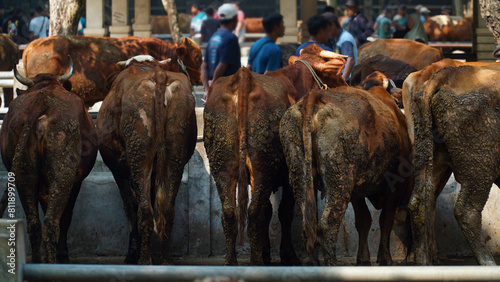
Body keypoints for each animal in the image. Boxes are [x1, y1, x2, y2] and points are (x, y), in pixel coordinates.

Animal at [0, 60, 97, 264]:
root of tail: (41, 101)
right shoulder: (76, 182)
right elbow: (66, 216)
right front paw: (63, 253)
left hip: (24, 176)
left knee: (35, 224)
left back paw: (39, 261)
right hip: (62, 176)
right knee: (52, 222)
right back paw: (54, 260)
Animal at [95, 55, 197, 264]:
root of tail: (158, 76)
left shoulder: (118, 171)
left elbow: (130, 208)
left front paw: (131, 253)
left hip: (139, 155)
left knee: (144, 211)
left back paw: (144, 259)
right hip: (175, 154)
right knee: (167, 209)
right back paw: (166, 259)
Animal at [203, 44, 348, 266]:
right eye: (335, 74)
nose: (346, 85)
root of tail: (243, 77)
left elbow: (268, 212)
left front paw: (266, 251)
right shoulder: (290, 176)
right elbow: (284, 212)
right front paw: (288, 255)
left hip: (222, 166)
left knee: (230, 212)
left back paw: (232, 262)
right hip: (262, 168)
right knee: (254, 212)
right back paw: (256, 262)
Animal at [280, 85, 412, 266]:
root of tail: (315, 96)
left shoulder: (356, 192)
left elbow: (364, 220)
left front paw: (363, 258)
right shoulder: (395, 186)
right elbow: (385, 220)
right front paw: (385, 258)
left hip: (299, 172)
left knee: (308, 228)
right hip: (339, 183)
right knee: (326, 228)